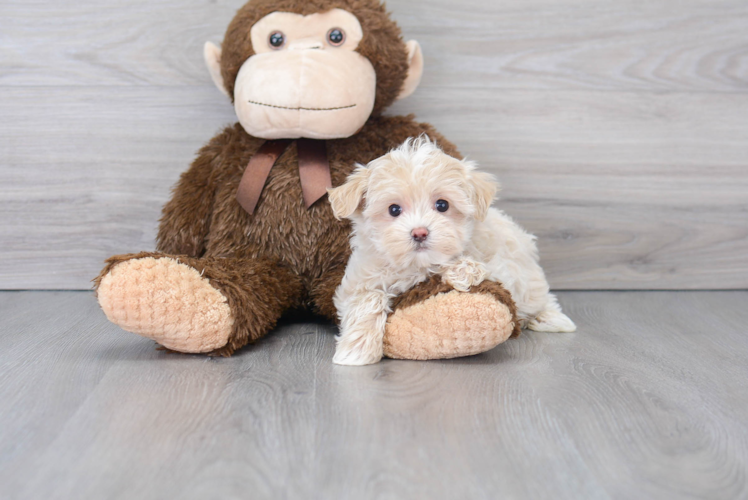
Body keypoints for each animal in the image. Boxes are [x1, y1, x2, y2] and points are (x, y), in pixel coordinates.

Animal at [324, 139, 576, 366]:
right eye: (394, 209)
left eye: (442, 205)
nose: (419, 233)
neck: (415, 265)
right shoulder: (358, 281)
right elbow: (368, 298)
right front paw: (356, 351)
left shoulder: (501, 263)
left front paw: (464, 270)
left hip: (526, 273)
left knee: (539, 296)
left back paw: (551, 318)